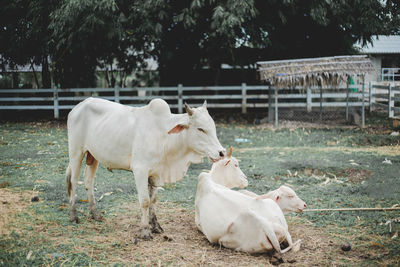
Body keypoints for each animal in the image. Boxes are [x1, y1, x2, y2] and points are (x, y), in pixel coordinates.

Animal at [67, 97, 227, 240]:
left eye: (213, 127)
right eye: (200, 129)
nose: (222, 152)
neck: (164, 136)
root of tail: (80, 105)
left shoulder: (156, 173)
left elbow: (153, 200)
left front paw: (155, 226)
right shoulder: (140, 170)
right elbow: (144, 201)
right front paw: (145, 230)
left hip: (93, 156)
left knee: (88, 181)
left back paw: (96, 214)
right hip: (76, 152)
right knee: (73, 182)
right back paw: (73, 215)